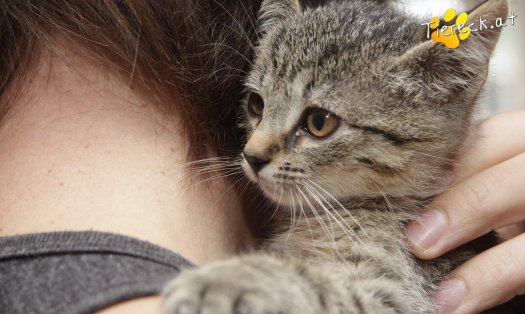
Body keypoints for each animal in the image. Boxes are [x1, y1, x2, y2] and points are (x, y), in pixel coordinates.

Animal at [163, 0, 508, 314]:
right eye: (256, 104)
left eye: (319, 122)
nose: (252, 156)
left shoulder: (404, 292)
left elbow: (317, 283)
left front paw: (232, 278)